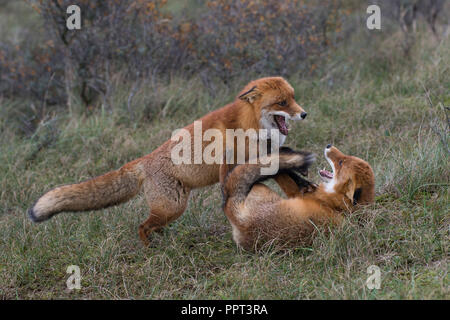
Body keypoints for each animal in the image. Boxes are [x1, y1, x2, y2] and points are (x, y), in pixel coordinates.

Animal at [28, 77, 308, 245]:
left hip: (169, 209)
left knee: (151, 226)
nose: (304, 114)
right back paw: (149, 250)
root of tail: (143, 160)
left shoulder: (266, 159)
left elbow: (289, 178)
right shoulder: (235, 164)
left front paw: (304, 190)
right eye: (282, 102)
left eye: (294, 98)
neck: (252, 126)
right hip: (172, 207)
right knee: (142, 226)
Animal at [220, 144, 374, 250]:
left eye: (341, 162)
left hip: (259, 188)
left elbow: (284, 175)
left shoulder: (296, 193)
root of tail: (241, 221)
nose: (329, 145)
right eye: (346, 157)